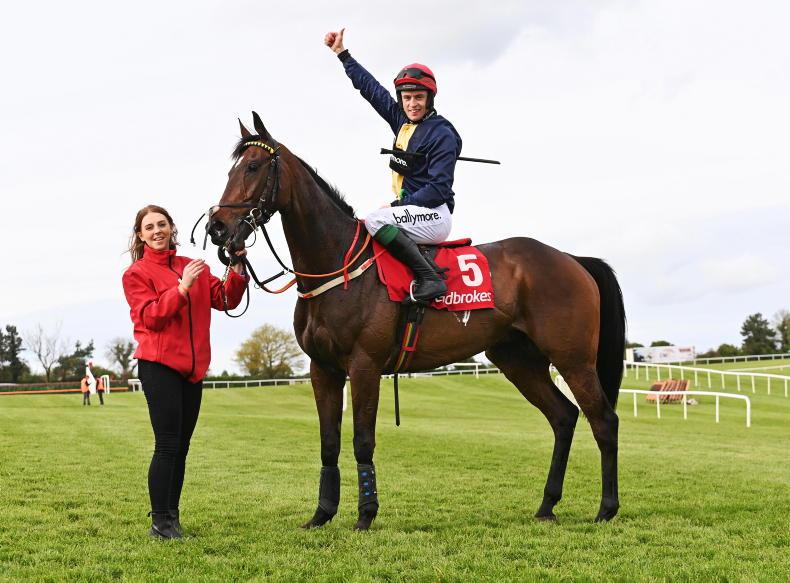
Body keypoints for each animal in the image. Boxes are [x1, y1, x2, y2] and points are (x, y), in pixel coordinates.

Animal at [208, 113, 626, 530]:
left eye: (253, 167)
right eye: (231, 169)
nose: (217, 227)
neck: (338, 263)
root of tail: (572, 259)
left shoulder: (364, 365)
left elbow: (362, 440)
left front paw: (366, 514)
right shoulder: (322, 368)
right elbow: (329, 443)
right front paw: (322, 513)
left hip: (573, 359)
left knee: (604, 420)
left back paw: (606, 507)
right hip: (518, 360)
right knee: (564, 417)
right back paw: (547, 505)